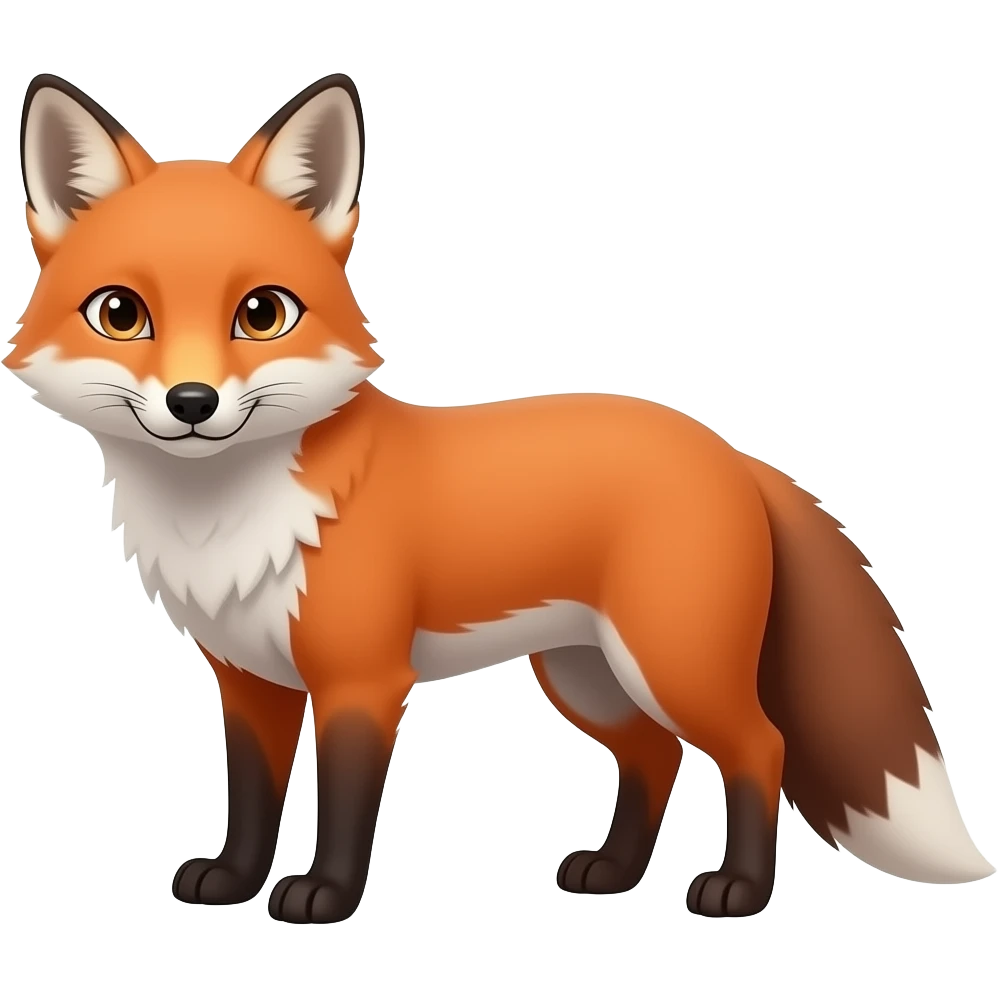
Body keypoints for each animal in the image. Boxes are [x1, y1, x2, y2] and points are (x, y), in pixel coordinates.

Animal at [8, 71, 994, 924]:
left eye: (262, 314)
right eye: (121, 314)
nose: (192, 403)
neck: (225, 518)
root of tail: (725, 448)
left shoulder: (364, 679)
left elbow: (344, 805)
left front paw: (325, 896)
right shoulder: (251, 679)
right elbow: (250, 799)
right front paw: (233, 881)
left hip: (671, 662)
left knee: (761, 748)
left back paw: (739, 891)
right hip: (588, 674)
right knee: (656, 754)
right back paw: (612, 872)